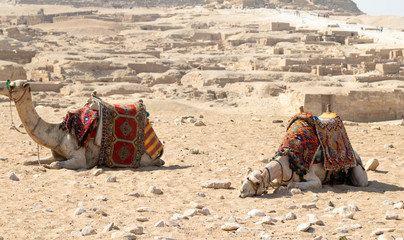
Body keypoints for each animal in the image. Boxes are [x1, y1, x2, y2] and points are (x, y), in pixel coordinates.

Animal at [0, 80, 164, 169]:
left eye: (12, 85)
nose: (1, 86)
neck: (59, 134)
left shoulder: (79, 158)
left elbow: (56, 165)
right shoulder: (56, 155)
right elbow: (28, 161)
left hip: (145, 157)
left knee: (158, 161)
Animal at [240, 109, 370, 198]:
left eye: (257, 183)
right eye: (244, 179)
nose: (241, 192)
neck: (288, 162)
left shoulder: (314, 179)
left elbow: (292, 185)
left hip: (359, 174)